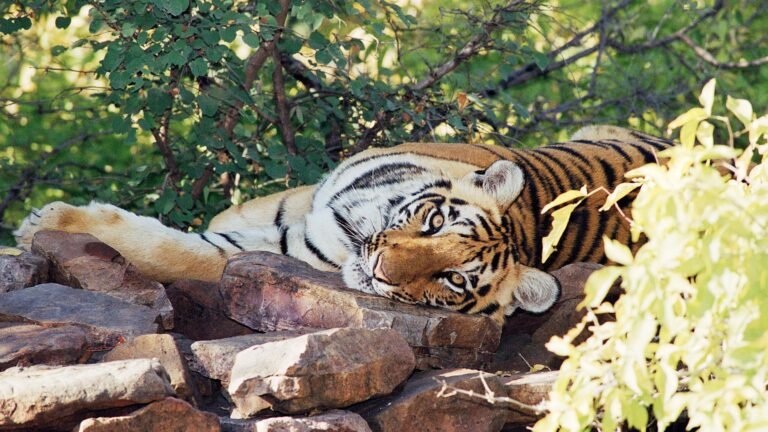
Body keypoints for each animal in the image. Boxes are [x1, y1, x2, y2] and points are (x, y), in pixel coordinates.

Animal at [14, 125, 672, 325]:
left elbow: (177, 252)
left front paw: (44, 220)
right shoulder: (296, 201)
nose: (380, 268)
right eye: (434, 220)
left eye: (455, 281)